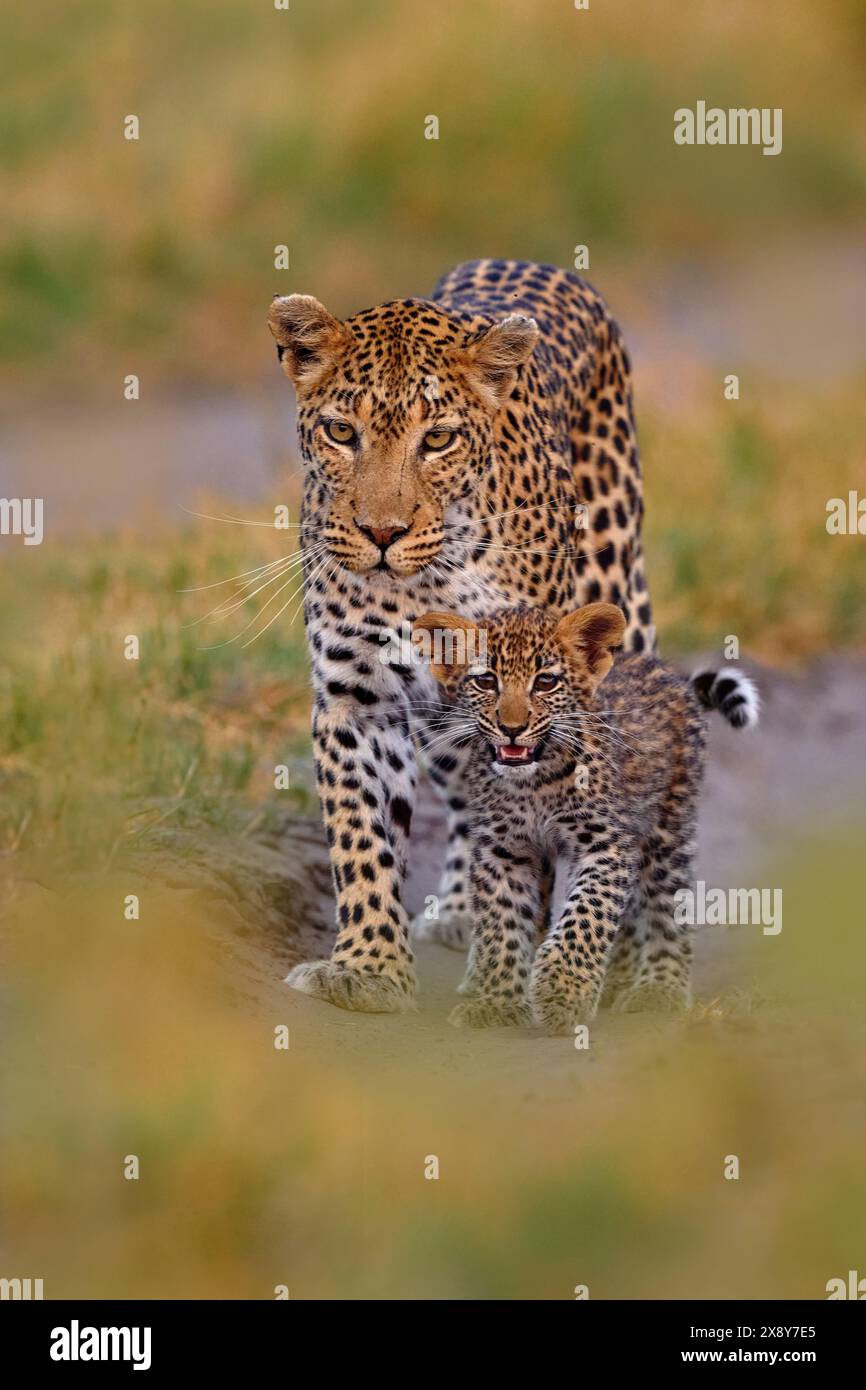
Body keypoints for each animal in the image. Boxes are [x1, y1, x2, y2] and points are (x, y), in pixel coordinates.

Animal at [267, 259, 655, 1014]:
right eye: (342, 433)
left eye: (438, 439)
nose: (381, 533)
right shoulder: (358, 699)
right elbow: (362, 836)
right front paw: (369, 968)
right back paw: (460, 905)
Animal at [413, 601, 759, 1033]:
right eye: (486, 681)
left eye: (545, 682)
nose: (512, 728)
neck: (535, 783)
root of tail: (670, 675)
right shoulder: (503, 849)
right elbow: (501, 923)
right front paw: (498, 1002)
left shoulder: (605, 844)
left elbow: (586, 915)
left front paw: (562, 993)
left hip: (668, 828)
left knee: (665, 903)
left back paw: (657, 988)